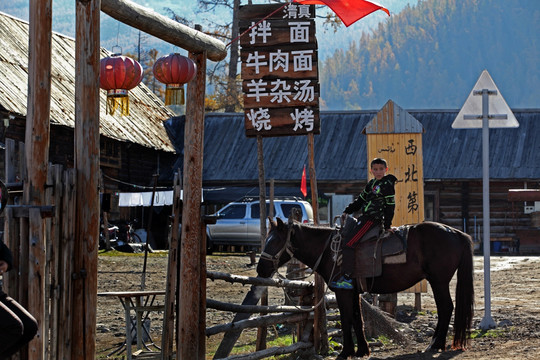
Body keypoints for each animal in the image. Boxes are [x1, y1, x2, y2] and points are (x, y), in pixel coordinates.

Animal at [258, 218, 472, 358]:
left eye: (274, 241)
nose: (261, 268)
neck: (330, 251)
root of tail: (457, 233)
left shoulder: (343, 291)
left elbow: (346, 319)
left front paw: (345, 352)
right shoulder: (353, 293)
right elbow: (357, 318)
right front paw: (362, 350)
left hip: (438, 281)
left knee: (446, 308)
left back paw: (436, 344)